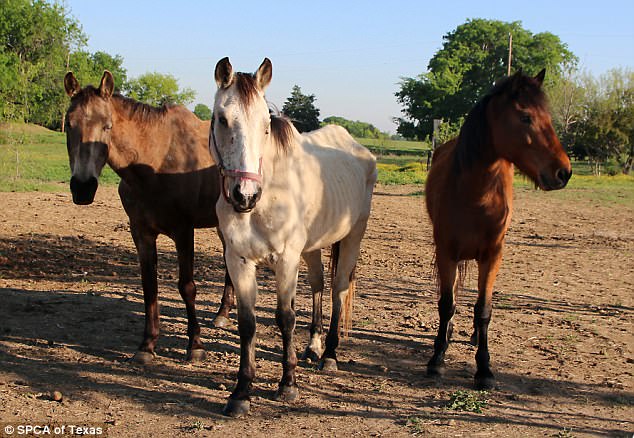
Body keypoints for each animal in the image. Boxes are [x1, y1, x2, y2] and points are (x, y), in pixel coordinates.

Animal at [63, 69, 236, 362]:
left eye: (107, 126)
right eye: (68, 125)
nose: (83, 187)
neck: (155, 161)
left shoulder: (183, 231)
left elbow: (187, 286)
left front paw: (195, 346)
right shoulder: (141, 233)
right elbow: (149, 286)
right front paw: (147, 345)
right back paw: (222, 314)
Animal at [207, 58, 376, 418]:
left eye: (266, 125)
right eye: (222, 119)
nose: (245, 195)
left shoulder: (285, 260)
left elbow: (285, 318)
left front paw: (288, 385)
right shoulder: (239, 260)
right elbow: (247, 323)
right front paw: (241, 392)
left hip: (353, 236)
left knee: (338, 290)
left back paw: (329, 355)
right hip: (311, 248)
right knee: (318, 285)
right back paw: (313, 346)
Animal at [422, 69, 572, 390]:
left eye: (549, 117)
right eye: (526, 117)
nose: (563, 172)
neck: (475, 196)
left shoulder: (492, 256)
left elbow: (484, 310)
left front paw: (484, 368)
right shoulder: (447, 253)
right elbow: (446, 303)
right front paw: (437, 357)